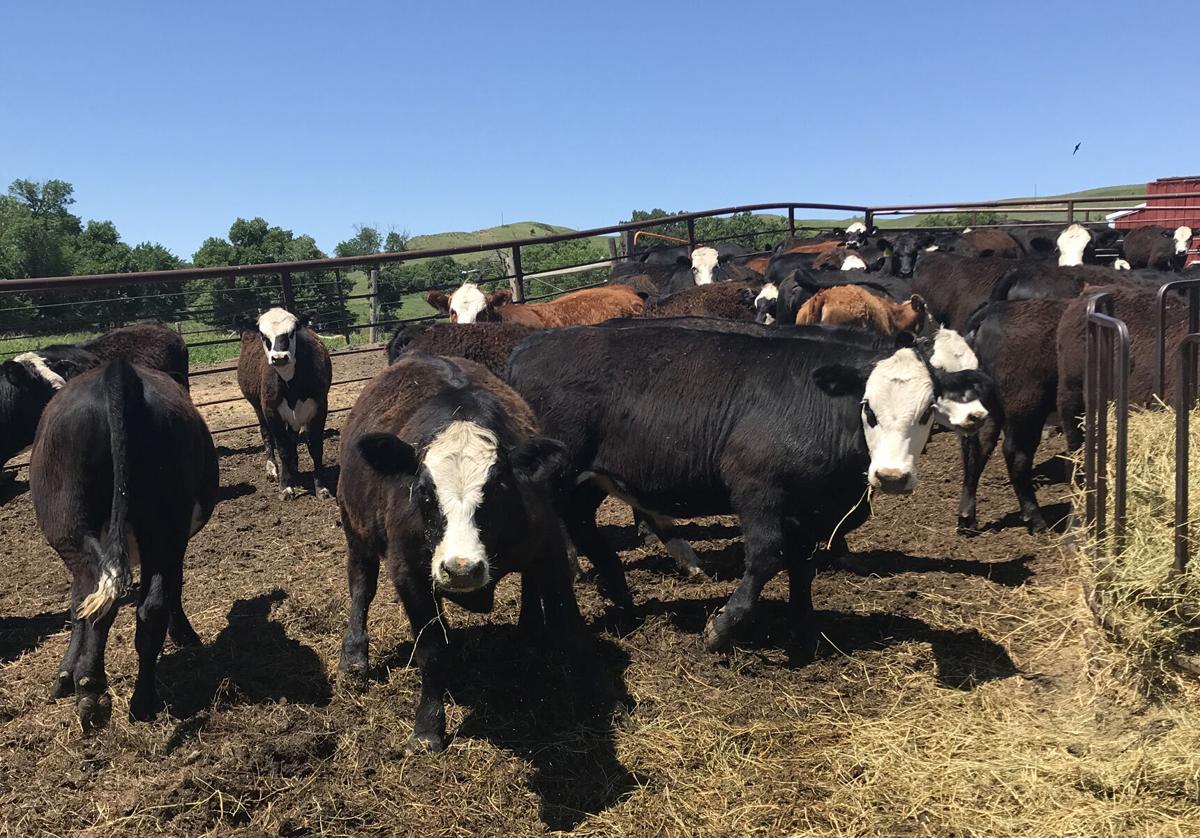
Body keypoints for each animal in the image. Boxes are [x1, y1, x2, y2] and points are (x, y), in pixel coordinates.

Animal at [30, 359, 218, 729]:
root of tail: (117, 373)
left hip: (75, 526)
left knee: (106, 594)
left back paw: (92, 689)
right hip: (161, 530)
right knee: (145, 605)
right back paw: (137, 700)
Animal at [236, 308, 333, 500]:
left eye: (292, 332)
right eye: (263, 335)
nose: (279, 357)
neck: (291, 385)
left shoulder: (319, 408)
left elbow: (315, 447)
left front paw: (321, 488)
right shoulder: (271, 412)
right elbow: (283, 448)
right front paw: (286, 486)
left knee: (292, 438)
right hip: (258, 408)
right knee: (266, 435)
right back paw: (272, 469)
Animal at [337, 352, 589, 752]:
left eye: (498, 487)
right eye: (424, 490)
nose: (461, 570)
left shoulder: (549, 548)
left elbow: (568, 626)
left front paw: (582, 700)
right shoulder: (408, 572)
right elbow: (430, 649)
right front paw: (428, 728)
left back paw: (528, 634)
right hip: (354, 529)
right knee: (362, 587)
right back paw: (354, 657)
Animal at [507, 323, 943, 658]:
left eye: (928, 410)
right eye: (868, 407)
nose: (892, 476)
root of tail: (530, 345)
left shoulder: (807, 509)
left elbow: (803, 566)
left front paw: (804, 629)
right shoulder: (756, 490)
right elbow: (768, 556)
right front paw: (722, 628)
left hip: (588, 480)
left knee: (581, 523)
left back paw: (618, 593)